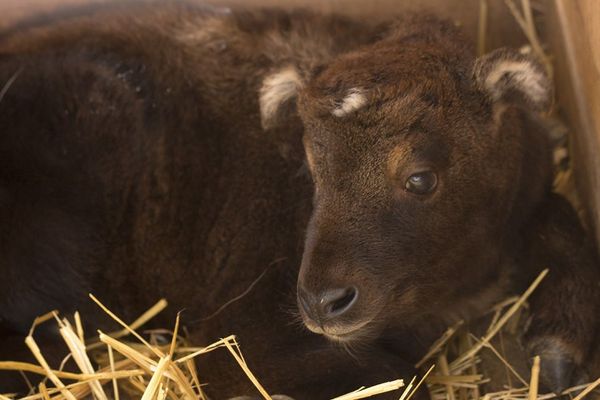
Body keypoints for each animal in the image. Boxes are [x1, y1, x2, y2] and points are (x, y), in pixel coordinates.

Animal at [0, 1, 596, 398]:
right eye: (312, 165)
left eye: (421, 178)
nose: (321, 303)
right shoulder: (243, 340)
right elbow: (404, 380)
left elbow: (561, 220)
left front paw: (557, 351)